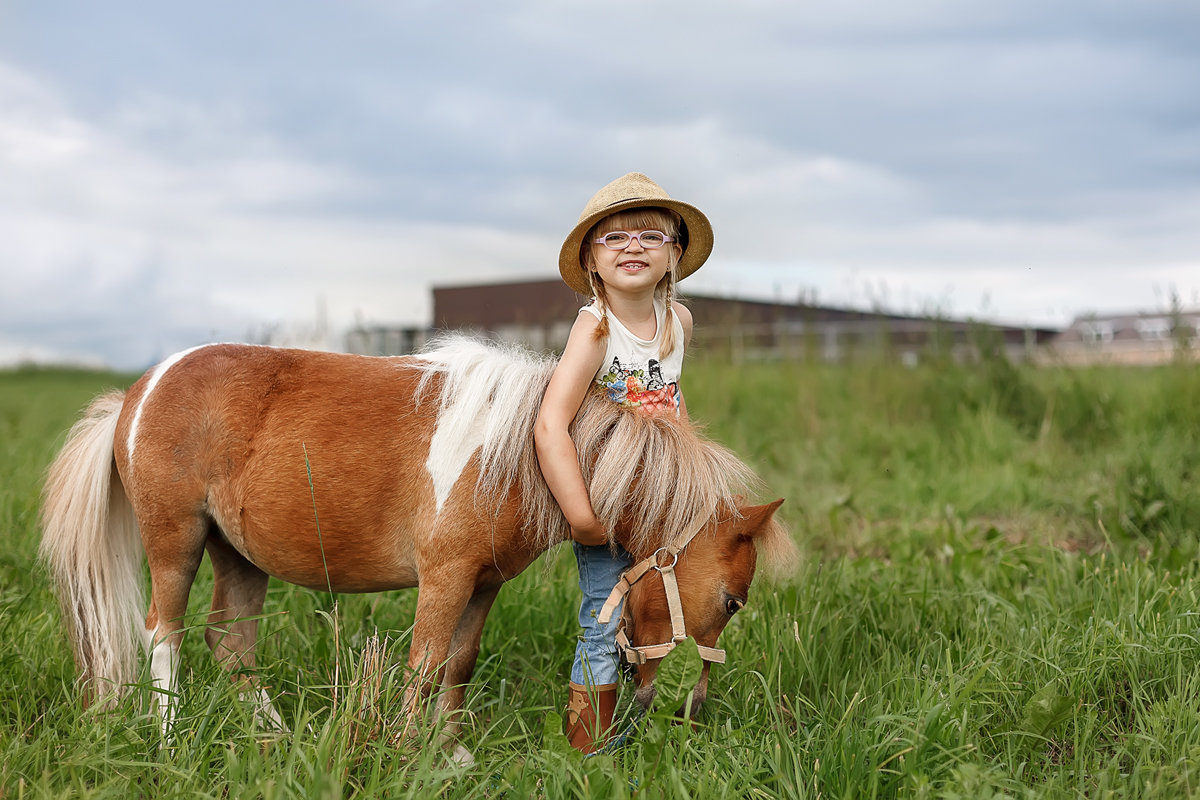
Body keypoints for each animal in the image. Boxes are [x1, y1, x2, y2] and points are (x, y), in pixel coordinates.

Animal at [37, 338, 792, 762]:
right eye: (730, 600)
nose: (682, 709)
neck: (526, 451)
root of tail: (137, 392)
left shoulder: (483, 583)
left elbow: (458, 664)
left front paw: (450, 752)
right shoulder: (445, 577)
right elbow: (425, 666)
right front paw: (407, 751)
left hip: (239, 555)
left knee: (231, 645)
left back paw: (276, 738)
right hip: (177, 540)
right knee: (163, 632)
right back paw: (170, 739)